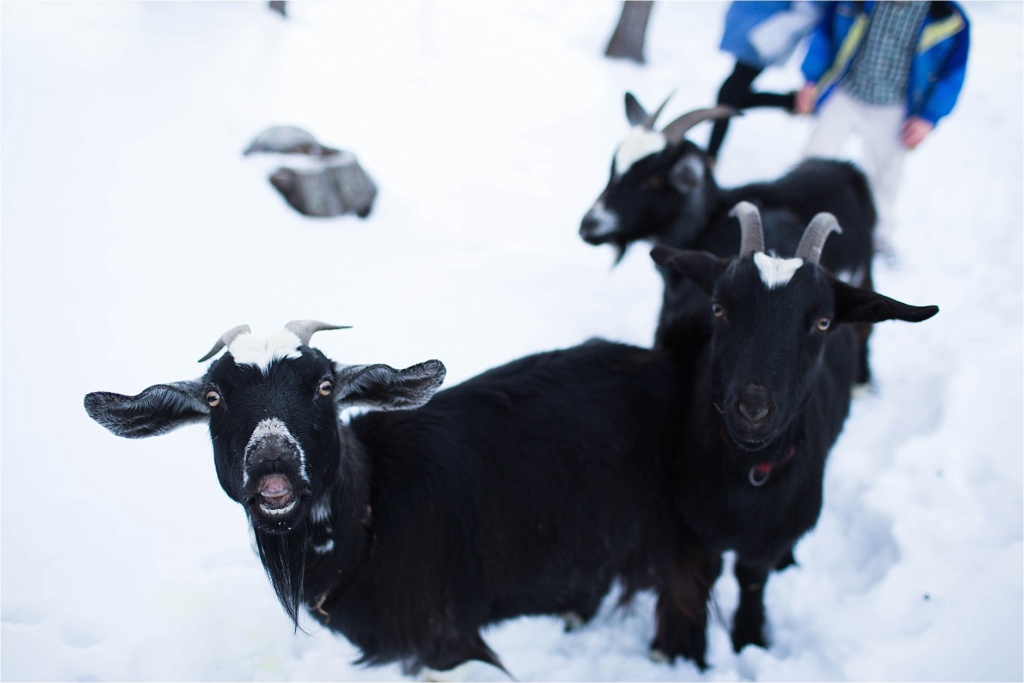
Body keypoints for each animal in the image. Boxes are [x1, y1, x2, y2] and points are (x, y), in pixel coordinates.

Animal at [647, 203, 937, 669]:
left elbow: (752, 577)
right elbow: (702, 573)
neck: (746, 474)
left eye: (822, 322)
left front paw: (749, 638)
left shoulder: (771, 534)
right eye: (718, 308)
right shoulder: (692, 522)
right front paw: (684, 648)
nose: (753, 409)